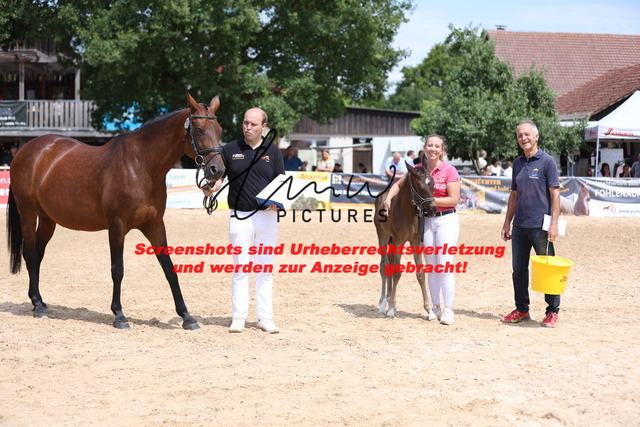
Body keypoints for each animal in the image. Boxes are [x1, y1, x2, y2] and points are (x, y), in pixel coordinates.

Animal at [6, 94, 225, 330]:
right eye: (199, 130)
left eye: (220, 130)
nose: (217, 170)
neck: (141, 165)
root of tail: (27, 149)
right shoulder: (117, 226)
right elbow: (117, 269)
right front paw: (119, 315)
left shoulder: (155, 225)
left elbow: (169, 268)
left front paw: (187, 316)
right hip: (28, 212)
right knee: (29, 253)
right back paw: (37, 305)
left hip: (48, 219)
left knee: (38, 255)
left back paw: (40, 302)